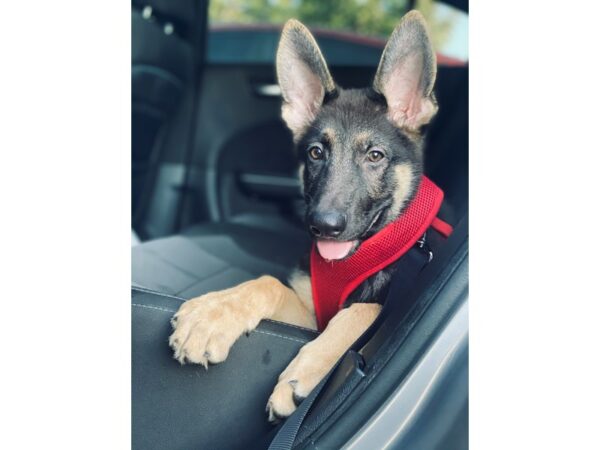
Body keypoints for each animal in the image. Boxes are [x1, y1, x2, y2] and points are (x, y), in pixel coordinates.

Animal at [169, 12, 436, 424]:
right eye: (315, 153)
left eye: (375, 155)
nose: (323, 225)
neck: (354, 259)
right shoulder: (308, 316)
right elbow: (267, 284)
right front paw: (212, 313)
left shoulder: (377, 309)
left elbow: (361, 313)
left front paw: (300, 375)